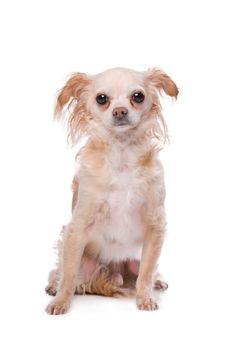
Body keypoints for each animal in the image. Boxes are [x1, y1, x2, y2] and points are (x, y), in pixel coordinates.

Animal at [44, 66, 177, 314]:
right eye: (101, 99)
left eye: (138, 96)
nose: (120, 111)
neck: (122, 154)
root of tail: (113, 273)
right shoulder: (77, 227)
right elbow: (68, 275)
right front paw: (60, 301)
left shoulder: (155, 225)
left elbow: (146, 273)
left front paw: (145, 298)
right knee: (64, 272)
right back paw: (53, 286)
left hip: (134, 262)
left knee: (144, 273)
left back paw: (157, 282)